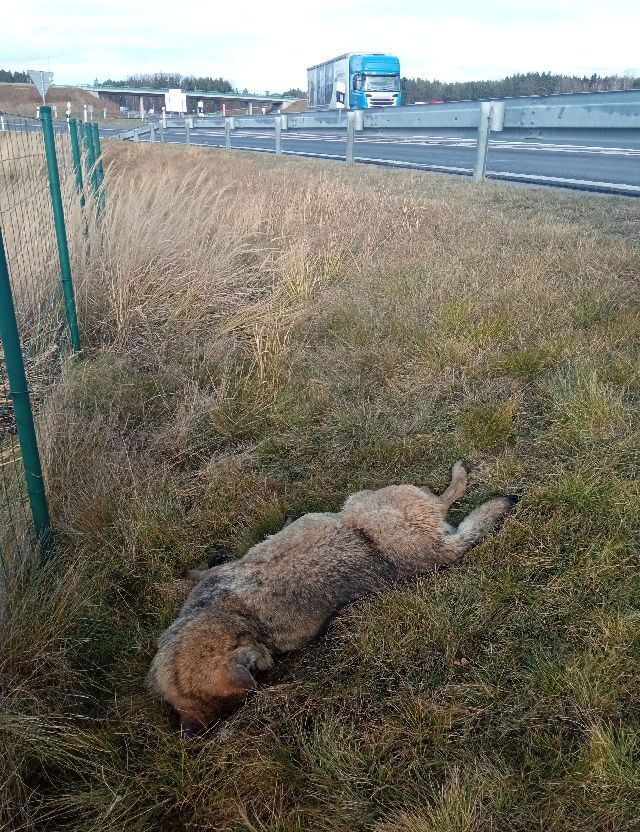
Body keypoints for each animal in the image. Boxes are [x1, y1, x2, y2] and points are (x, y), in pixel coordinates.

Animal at [146, 462, 516, 736]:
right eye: (256, 669)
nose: (263, 668)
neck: (233, 619)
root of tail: (435, 554)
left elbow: (198, 573)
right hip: (369, 502)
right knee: (447, 498)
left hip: (364, 499)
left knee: (447, 496)